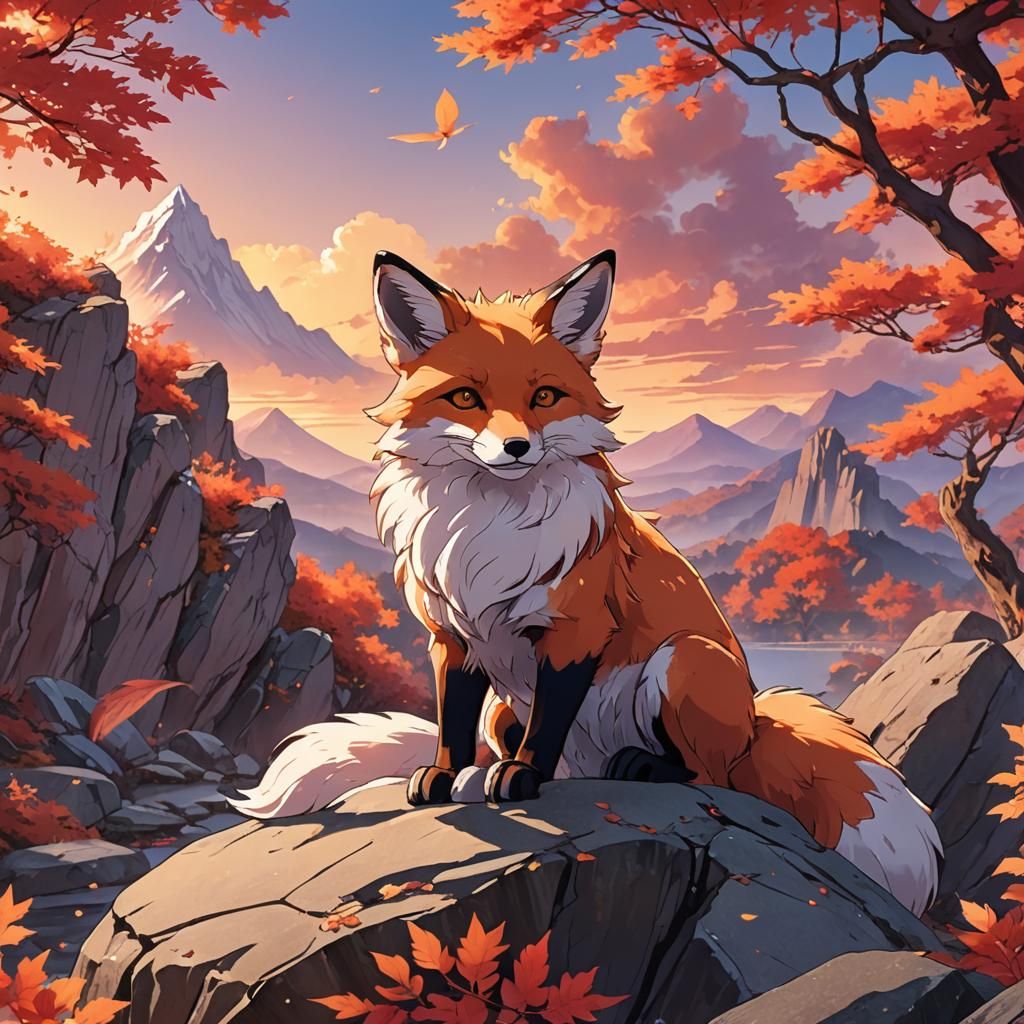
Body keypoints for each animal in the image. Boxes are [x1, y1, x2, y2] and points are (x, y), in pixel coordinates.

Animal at [229, 249, 942, 916]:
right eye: (466, 398)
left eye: (545, 397)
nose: (517, 448)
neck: (491, 534)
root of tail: (756, 720)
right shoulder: (453, 638)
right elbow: (450, 722)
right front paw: (445, 776)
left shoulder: (576, 631)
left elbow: (548, 723)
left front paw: (520, 778)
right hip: (503, 709)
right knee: (546, 755)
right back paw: (488, 777)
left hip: (686, 660)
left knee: (712, 774)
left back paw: (641, 767)